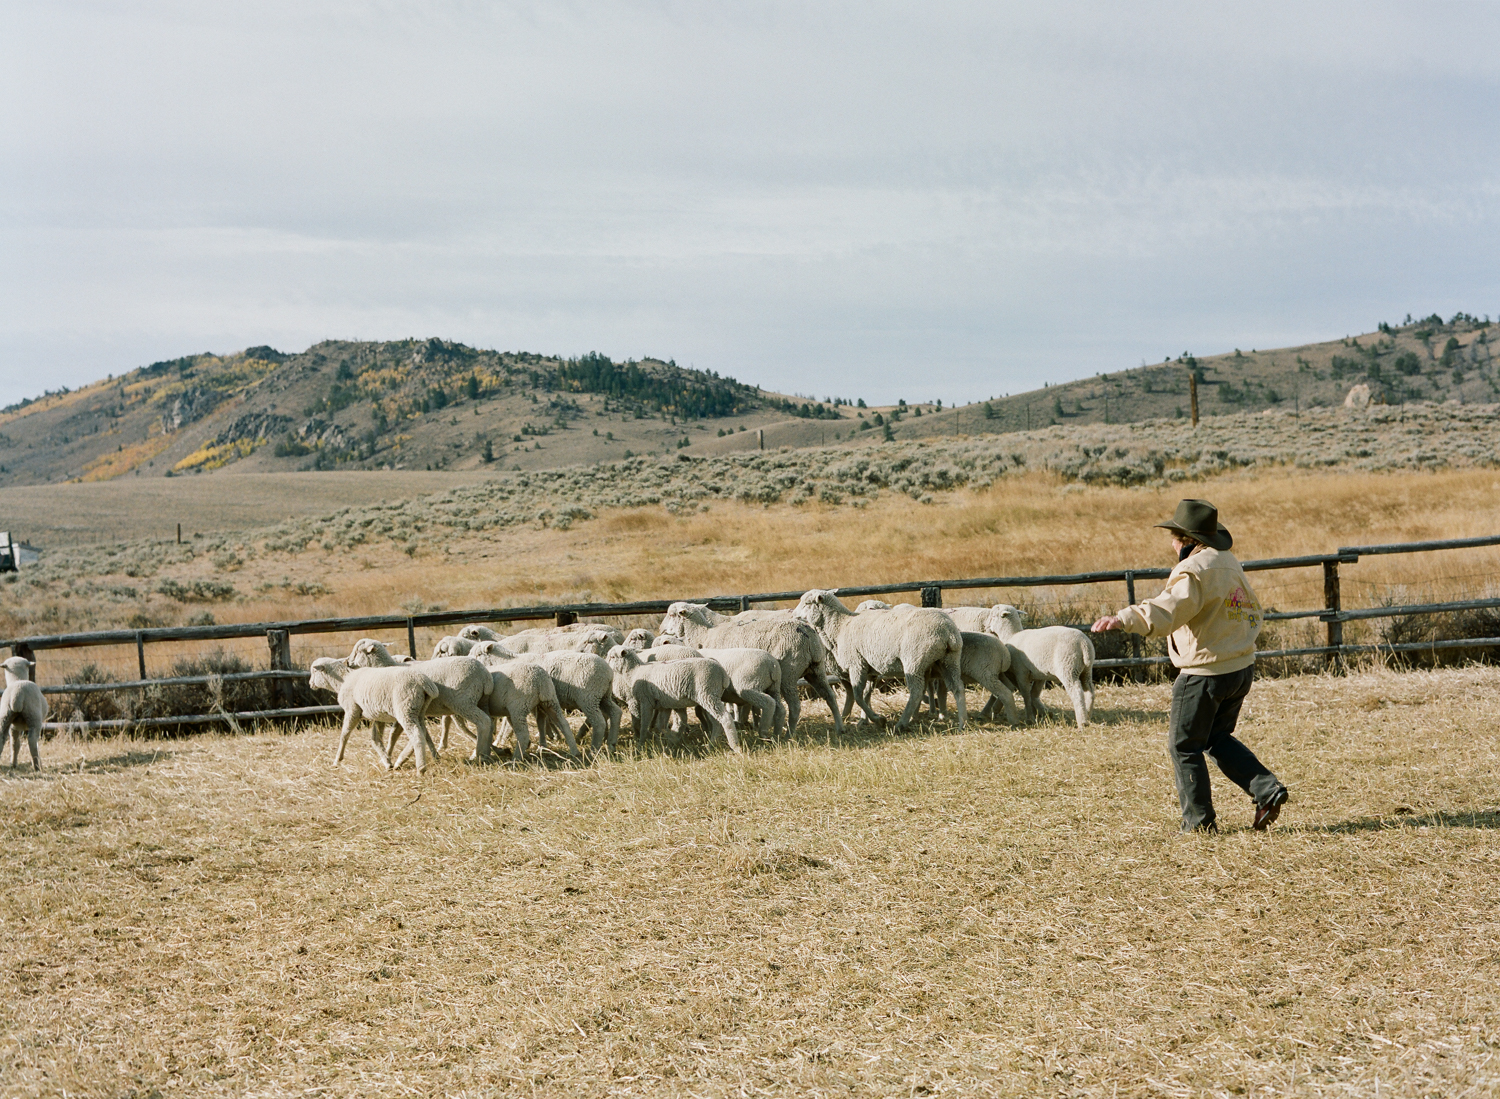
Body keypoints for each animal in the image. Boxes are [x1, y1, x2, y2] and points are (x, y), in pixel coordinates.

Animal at [309, 650, 438, 773]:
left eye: (314, 671)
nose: (310, 684)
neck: (342, 681)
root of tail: (424, 683)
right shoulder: (378, 716)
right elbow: (375, 740)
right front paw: (387, 762)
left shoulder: (352, 710)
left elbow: (344, 735)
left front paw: (337, 761)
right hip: (418, 710)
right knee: (423, 731)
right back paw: (406, 760)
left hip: (406, 709)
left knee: (417, 735)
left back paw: (420, 769)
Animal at [345, 638, 498, 758]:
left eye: (357, 651)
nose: (347, 662)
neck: (386, 667)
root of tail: (485, 675)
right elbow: (416, 734)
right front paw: (435, 755)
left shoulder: (403, 708)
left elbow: (394, 735)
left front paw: (387, 755)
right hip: (480, 700)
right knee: (489, 722)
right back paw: (491, 749)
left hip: (463, 702)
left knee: (483, 722)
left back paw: (479, 754)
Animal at [660, 599, 846, 737]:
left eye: (671, 614)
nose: (661, 630)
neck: (702, 634)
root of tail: (809, 636)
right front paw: (751, 722)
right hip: (816, 669)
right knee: (829, 696)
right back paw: (839, 728)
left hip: (789, 672)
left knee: (794, 706)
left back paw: (788, 734)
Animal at [792, 587, 966, 731]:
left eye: (807, 603)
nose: (793, 615)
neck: (840, 626)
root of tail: (948, 631)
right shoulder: (870, 670)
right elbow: (866, 694)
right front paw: (865, 720)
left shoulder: (856, 664)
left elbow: (858, 695)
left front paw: (878, 720)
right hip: (948, 660)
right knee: (957, 687)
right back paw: (962, 724)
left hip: (914, 660)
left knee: (916, 691)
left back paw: (901, 724)